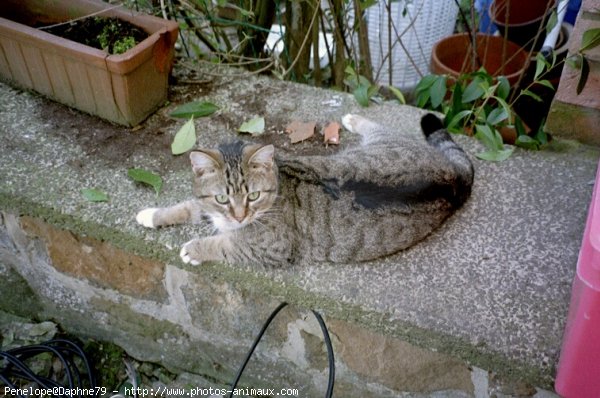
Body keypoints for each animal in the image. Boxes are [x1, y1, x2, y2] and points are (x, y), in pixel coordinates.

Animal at [137, 112, 474, 268]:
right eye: (222, 198)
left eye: (253, 196)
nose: (240, 216)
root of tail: (454, 177)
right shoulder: (211, 207)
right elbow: (189, 206)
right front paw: (152, 215)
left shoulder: (272, 249)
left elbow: (226, 245)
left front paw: (195, 248)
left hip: (388, 140)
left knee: (380, 126)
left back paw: (353, 118)